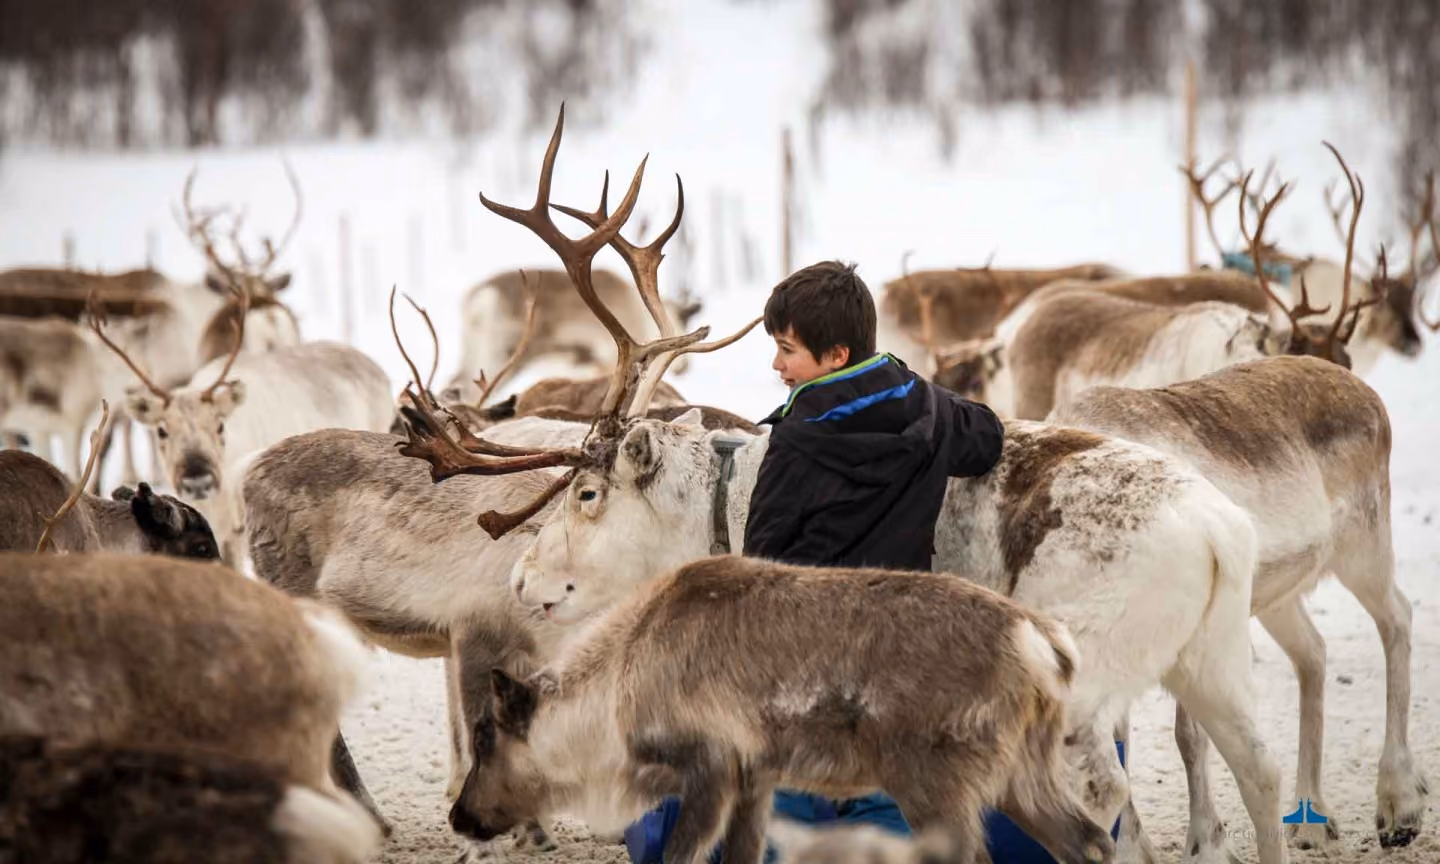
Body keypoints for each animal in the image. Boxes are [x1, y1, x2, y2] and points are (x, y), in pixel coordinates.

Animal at [452, 556, 1116, 864]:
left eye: (486, 738)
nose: (460, 816)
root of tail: (1044, 643)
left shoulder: (711, 765)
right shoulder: (755, 777)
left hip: (935, 779)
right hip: (1023, 771)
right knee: (1090, 841)